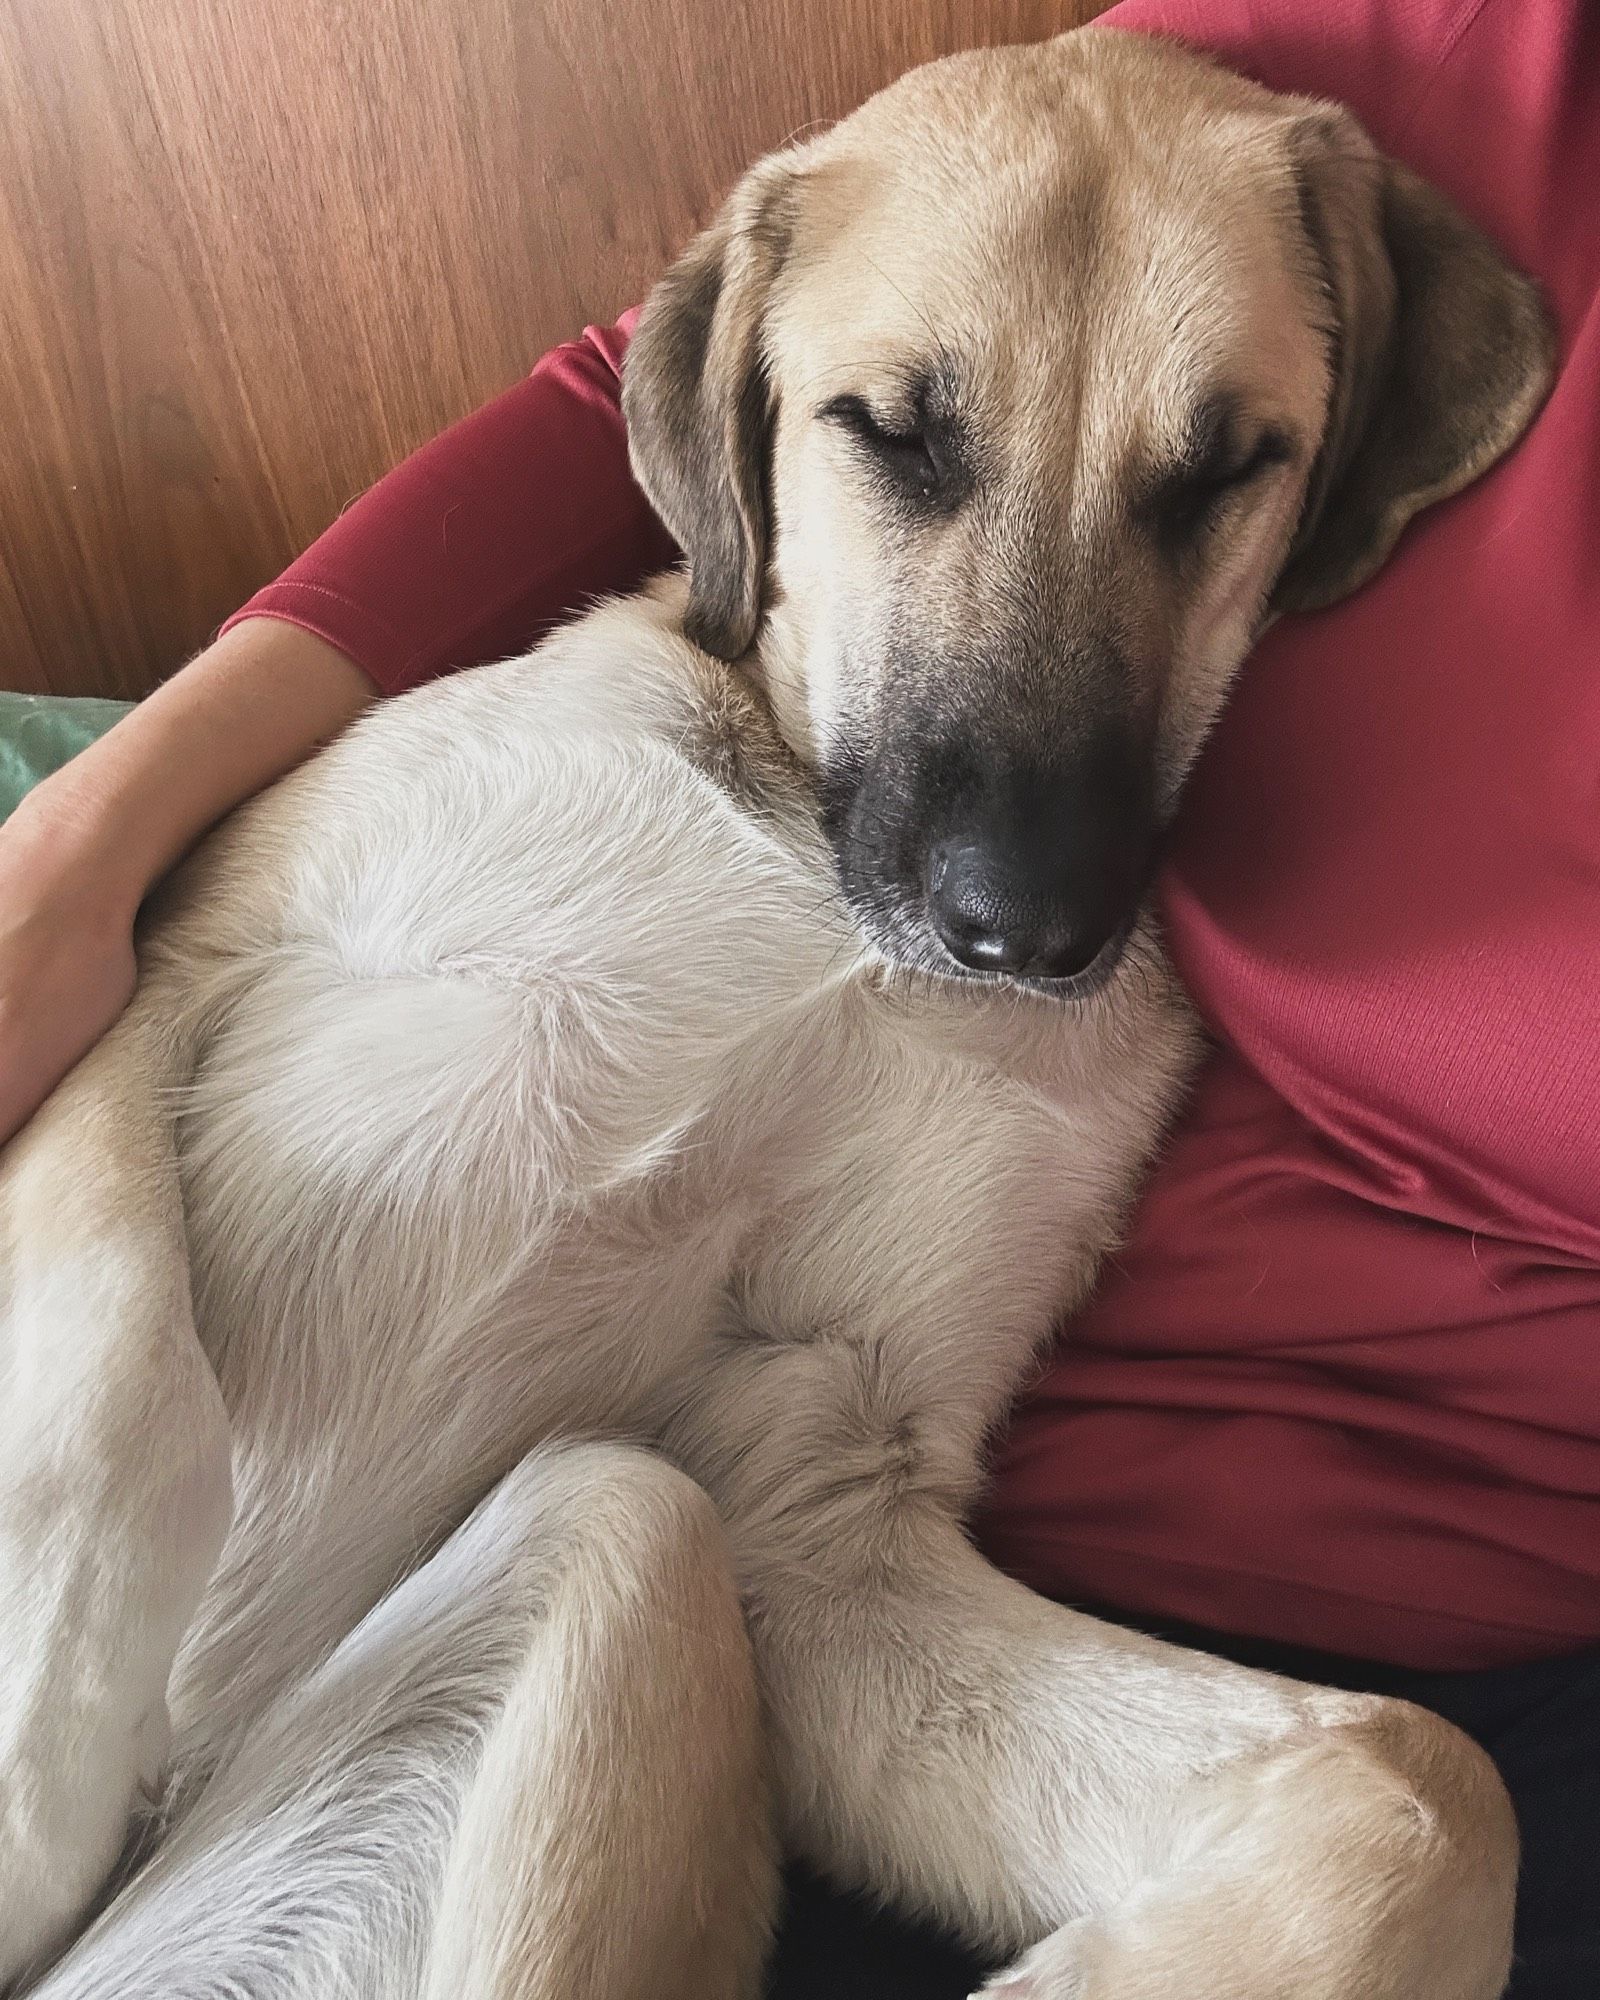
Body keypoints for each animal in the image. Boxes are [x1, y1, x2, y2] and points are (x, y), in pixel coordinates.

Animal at [0, 27, 1552, 2000]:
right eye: (891, 430)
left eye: (1226, 469)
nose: (1026, 928)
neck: (819, 877)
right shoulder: (166, 953)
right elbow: (110, 1382)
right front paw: (44, 1762)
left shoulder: (817, 1509)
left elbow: (1422, 1773)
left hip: (625, 1549)